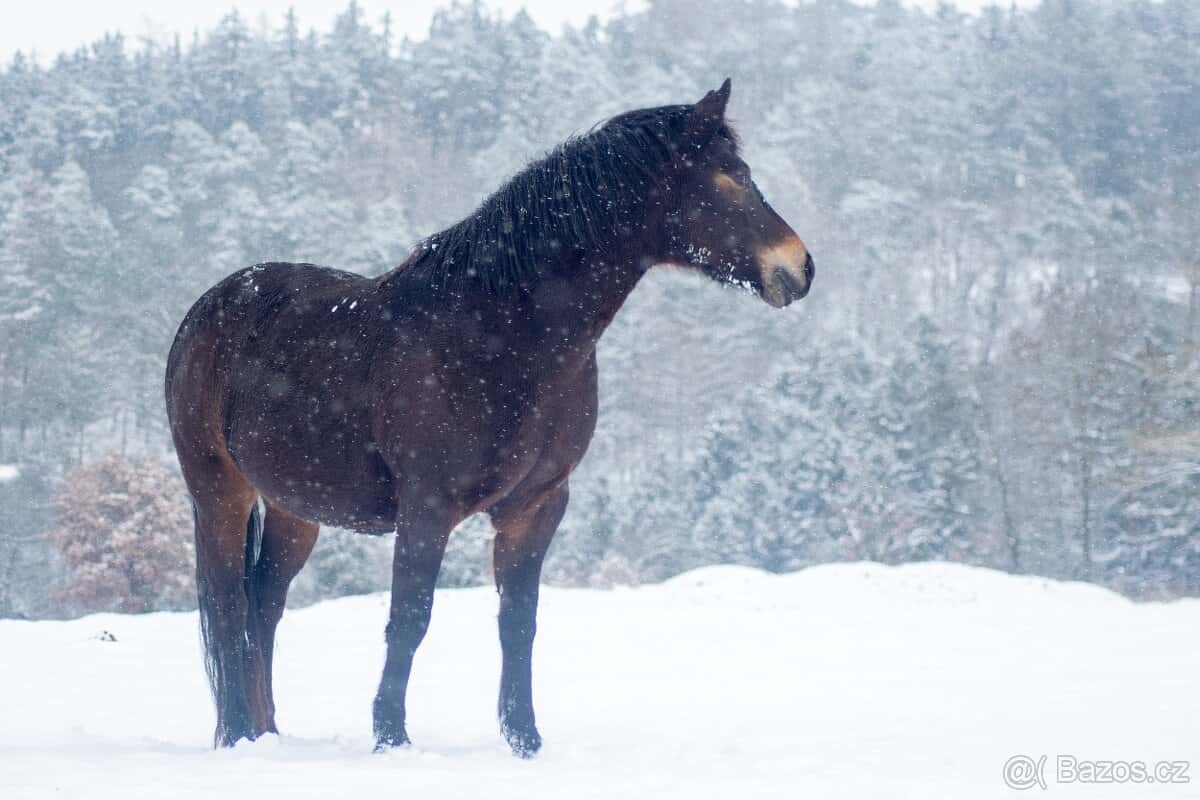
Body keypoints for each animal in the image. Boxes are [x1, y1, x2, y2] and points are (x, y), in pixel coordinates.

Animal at [165, 78, 814, 756]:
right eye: (733, 175)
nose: (799, 267)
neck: (499, 332)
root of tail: (208, 310)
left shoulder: (536, 507)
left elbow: (518, 624)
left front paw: (525, 739)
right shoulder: (426, 509)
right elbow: (410, 618)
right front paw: (391, 738)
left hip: (295, 507)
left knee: (264, 603)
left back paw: (266, 733)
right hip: (219, 491)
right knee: (229, 606)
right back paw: (237, 734)